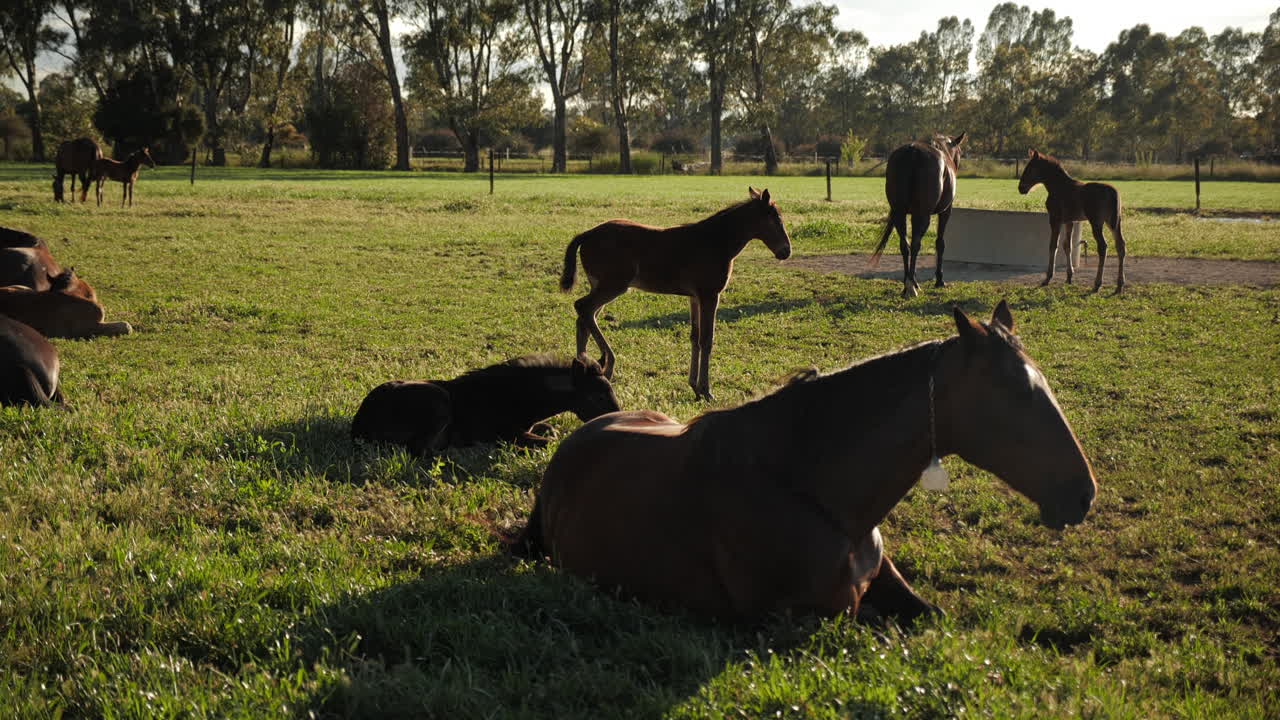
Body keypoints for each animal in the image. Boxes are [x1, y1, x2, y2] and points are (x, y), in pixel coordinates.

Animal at [352, 354, 621, 456]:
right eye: (597, 397)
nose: (617, 419)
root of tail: (359, 425)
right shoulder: (507, 431)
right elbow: (546, 441)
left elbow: (550, 430)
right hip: (438, 400)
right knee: (421, 449)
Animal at [560, 187, 792, 401]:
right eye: (776, 219)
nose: (786, 251)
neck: (716, 241)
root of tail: (588, 234)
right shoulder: (709, 295)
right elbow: (706, 339)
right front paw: (706, 390)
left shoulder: (694, 297)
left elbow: (695, 337)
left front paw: (694, 387)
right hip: (613, 285)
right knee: (583, 307)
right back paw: (607, 363)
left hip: (601, 286)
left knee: (585, 319)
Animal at [870, 133, 966, 298]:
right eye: (960, 152)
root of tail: (913, 151)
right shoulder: (945, 212)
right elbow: (940, 243)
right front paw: (939, 280)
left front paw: (912, 278)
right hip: (922, 215)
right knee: (915, 244)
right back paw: (911, 287)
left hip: (900, 213)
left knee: (905, 245)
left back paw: (907, 284)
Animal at [1018, 149, 1127, 293]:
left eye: (1030, 168)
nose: (1020, 188)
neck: (1059, 187)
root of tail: (1113, 193)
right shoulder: (1070, 221)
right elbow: (1067, 245)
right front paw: (1069, 277)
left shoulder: (1055, 219)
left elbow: (1053, 245)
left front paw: (1047, 278)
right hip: (1114, 222)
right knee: (1121, 246)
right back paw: (1119, 285)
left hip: (1096, 222)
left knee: (1103, 247)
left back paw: (1097, 283)